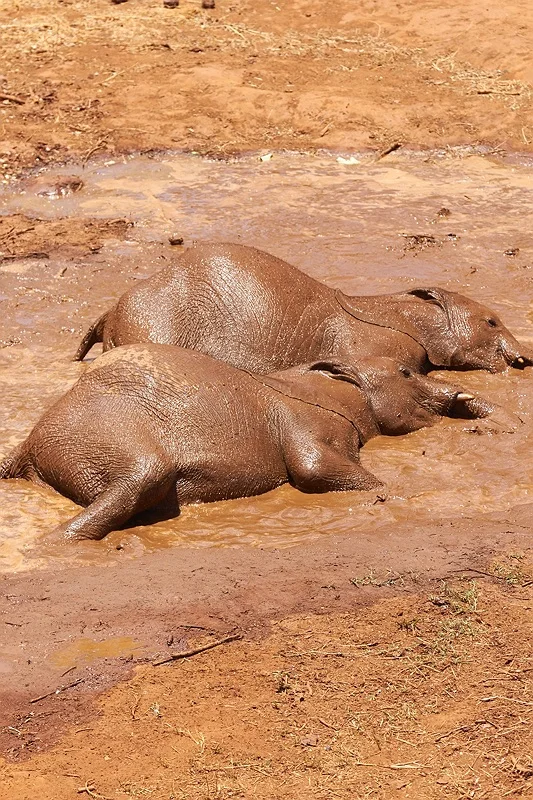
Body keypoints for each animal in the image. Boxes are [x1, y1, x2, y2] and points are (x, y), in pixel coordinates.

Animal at [1, 343, 498, 541]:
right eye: (407, 372)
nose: (461, 398)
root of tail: (28, 445)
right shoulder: (307, 418)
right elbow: (314, 468)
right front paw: (398, 495)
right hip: (105, 430)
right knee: (142, 478)